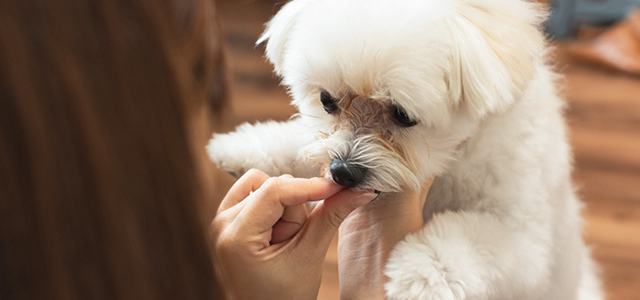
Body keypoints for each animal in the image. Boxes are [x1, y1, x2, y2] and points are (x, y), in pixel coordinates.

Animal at [208, 0, 604, 298]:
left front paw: (418, 275)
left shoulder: (526, 242)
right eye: (326, 101)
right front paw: (240, 148)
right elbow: (301, 141)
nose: (343, 171)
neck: (453, 160)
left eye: (402, 115)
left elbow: (464, 242)